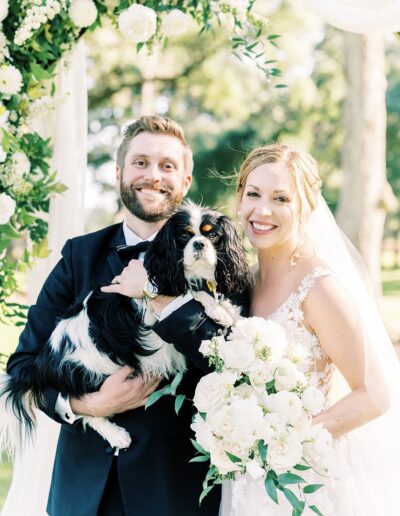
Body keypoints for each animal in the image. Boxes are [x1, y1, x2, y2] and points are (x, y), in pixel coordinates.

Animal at [0, 204, 250, 454]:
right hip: (89, 370)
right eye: (184, 235)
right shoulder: (148, 306)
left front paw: (231, 312)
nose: (199, 244)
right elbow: (188, 294)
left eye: (212, 235)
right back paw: (117, 436)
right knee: (83, 407)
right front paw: (215, 309)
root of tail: (42, 361)